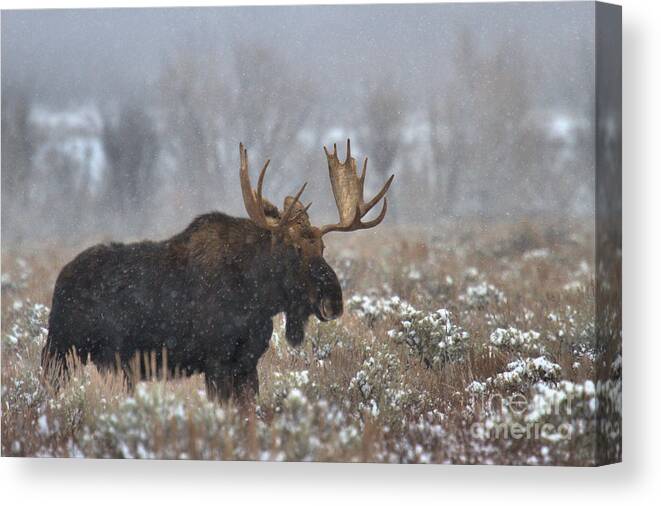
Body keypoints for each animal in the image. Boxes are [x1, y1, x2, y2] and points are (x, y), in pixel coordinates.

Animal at [42, 140, 392, 402]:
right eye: (294, 249)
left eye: (323, 248)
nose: (333, 300)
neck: (260, 297)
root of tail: (61, 278)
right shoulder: (217, 362)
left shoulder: (246, 364)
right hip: (59, 351)